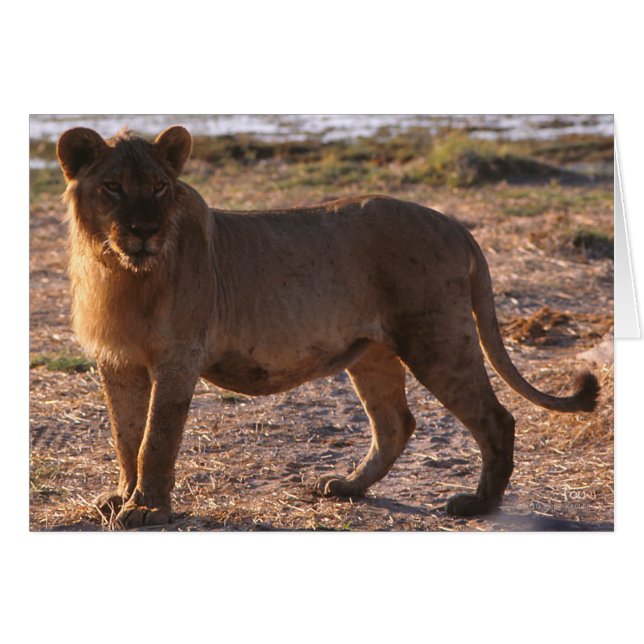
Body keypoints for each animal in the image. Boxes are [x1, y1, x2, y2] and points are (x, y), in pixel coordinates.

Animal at [56, 125, 599, 528]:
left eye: (159, 187)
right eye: (112, 187)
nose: (144, 231)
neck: (121, 271)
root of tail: (455, 225)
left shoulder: (179, 356)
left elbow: (156, 438)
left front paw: (147, 509)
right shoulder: (117, 360)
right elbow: (125, 435)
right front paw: (120, 497)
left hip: (436, 339)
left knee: (495, 418)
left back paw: (478, 504)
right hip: (374, 352)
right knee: (395, 423)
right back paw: (347, 487)